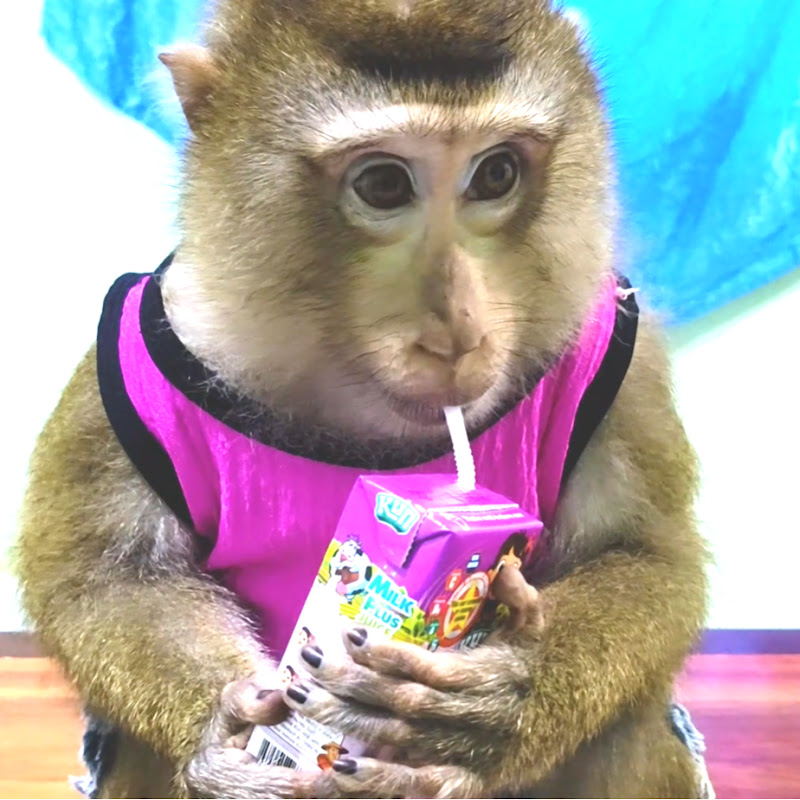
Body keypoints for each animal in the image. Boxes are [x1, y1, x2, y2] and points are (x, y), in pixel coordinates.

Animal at [14, 0, 711, 798]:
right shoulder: (130, 352)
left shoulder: (618, 347)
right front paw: (224, 734)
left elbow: (644, 556)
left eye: (496, 172)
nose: (458, 331)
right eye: (382, 185)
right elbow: (105, 580)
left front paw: (507, 697)